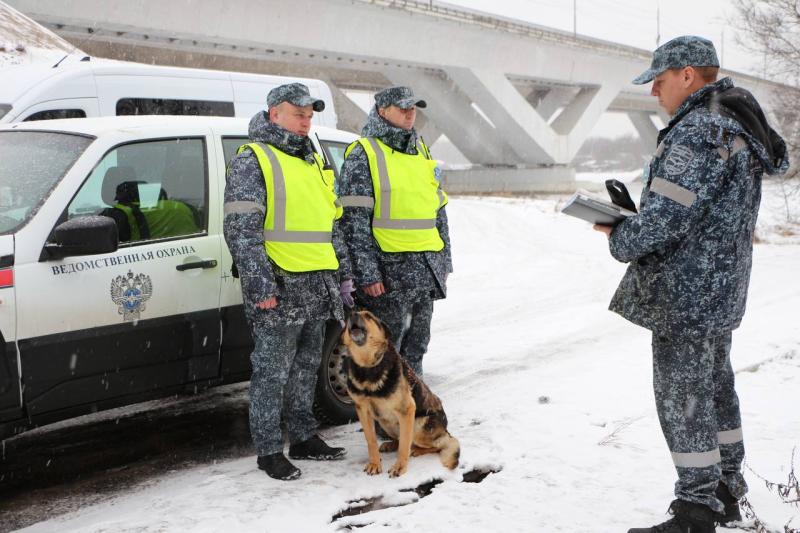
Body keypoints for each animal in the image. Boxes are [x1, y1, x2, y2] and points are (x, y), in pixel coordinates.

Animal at [340, 310, 460, 476]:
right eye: (347, 319)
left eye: (369, 316)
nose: (352, 314)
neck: (368, 367)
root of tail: (446, 430)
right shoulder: (363, 411)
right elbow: (371, 440)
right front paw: (374, 463)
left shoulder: (406, 409)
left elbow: (404, 444)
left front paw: (400, 467)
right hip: (384, 422)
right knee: (400, 439)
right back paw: (390, 444)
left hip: (418, 425)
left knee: (439, 444)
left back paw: (417, 449)